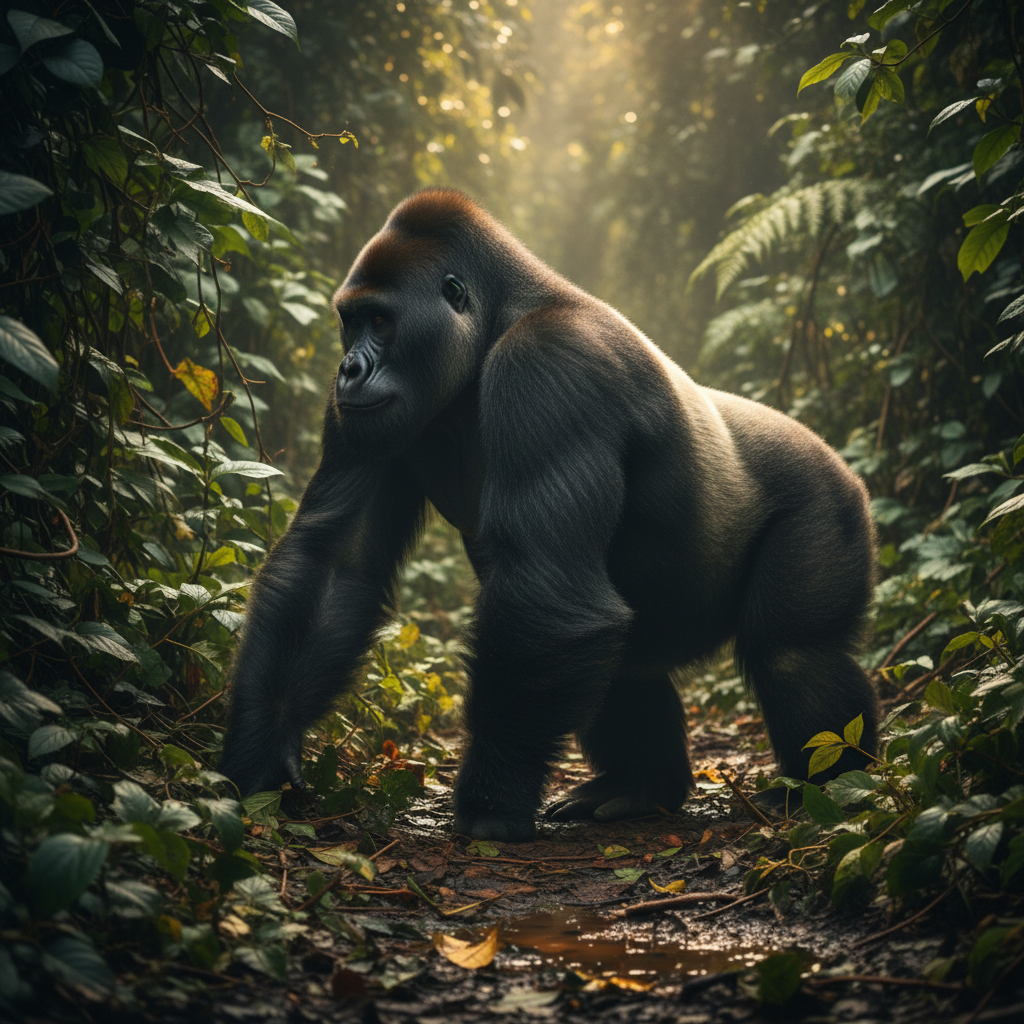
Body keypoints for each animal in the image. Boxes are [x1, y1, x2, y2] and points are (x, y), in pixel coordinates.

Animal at [218, 188, 878, 841]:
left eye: (381, 320)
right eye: (349, 322)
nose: (349, 370)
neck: (494, 322)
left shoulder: (548, 365)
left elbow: (546, 587)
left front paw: (490, 802)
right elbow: (336, 564)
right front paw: (262, 751)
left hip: (829, 502)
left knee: (792, 654)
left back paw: (831, 788)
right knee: (628, 662)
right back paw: (642, 786)